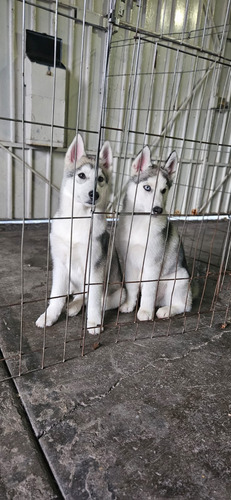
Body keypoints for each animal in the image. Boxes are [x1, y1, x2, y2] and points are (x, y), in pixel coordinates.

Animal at [36, 135, 123, 334]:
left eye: (100, 179)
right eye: (81, 175)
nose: (94, 194)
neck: (79, 219)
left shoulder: (96, 266)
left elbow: (93, 298)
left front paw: (94, 322)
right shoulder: (60, 263)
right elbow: (56, 295)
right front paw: (49, 315)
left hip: (117, 292)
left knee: (93, 298)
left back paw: (75, 307)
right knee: (73, 292)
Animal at [116, 146, 192, 322]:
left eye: (163, 190)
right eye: (147, 188)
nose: (158, 209)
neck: (141, 223)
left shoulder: (152, 263)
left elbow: (149, 290)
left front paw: (145, 311)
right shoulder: (129, 261)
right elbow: (131, 286)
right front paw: (129, 304)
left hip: (180, 278)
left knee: (184, 305)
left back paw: (166, 310)